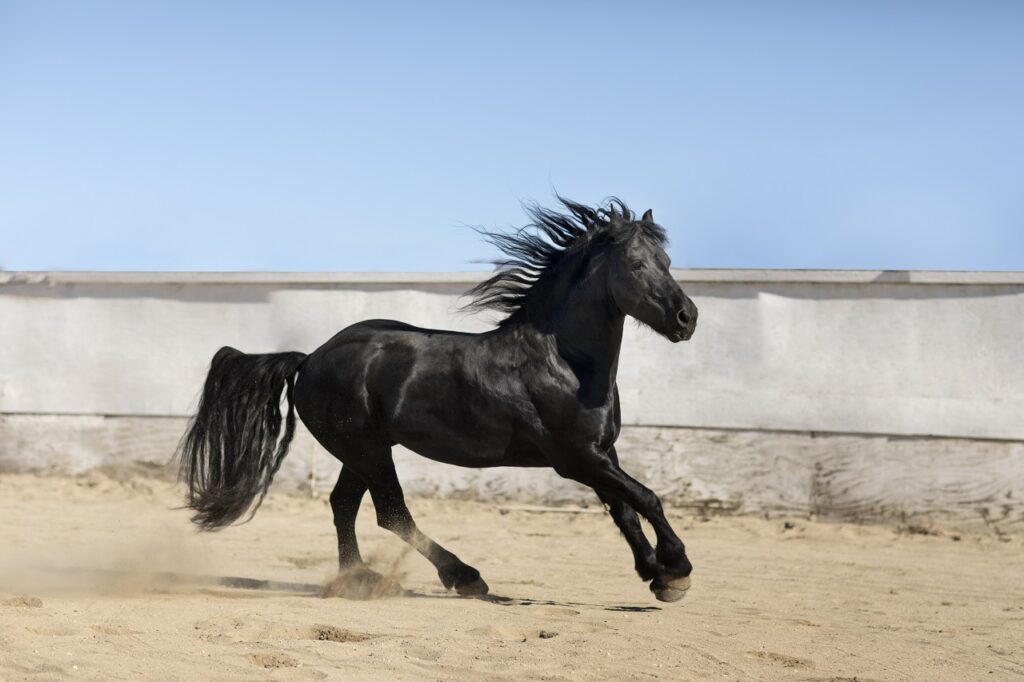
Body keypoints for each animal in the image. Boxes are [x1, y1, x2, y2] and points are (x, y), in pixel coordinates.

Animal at [177, 197, 699, 602]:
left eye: (668, 263)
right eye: (636, 265)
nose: (686, 317)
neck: (565, 363)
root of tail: (310, 359)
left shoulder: (602, 453)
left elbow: (625, 509)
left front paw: (656, 575)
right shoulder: (575, 459)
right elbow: (646, 497)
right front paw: (676, 568)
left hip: (362, 451)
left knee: (343, 505)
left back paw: (357, 579)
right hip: (366, 449)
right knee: (391, 513)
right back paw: (463, 576)